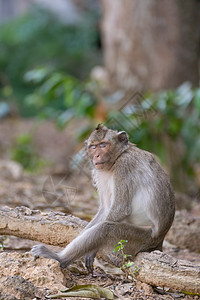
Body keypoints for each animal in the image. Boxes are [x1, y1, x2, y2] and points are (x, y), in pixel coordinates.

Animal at [31, 123, 175, 274]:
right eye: (93, 147)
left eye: (103, 145)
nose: (97, 155)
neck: (117, 157)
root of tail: (160, 238)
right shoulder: (99, 172)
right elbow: (105, 209)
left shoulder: (124, 165)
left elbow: (120, 209)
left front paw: (91, 251)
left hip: (139, 239)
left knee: (105, 229)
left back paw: (60, 258)